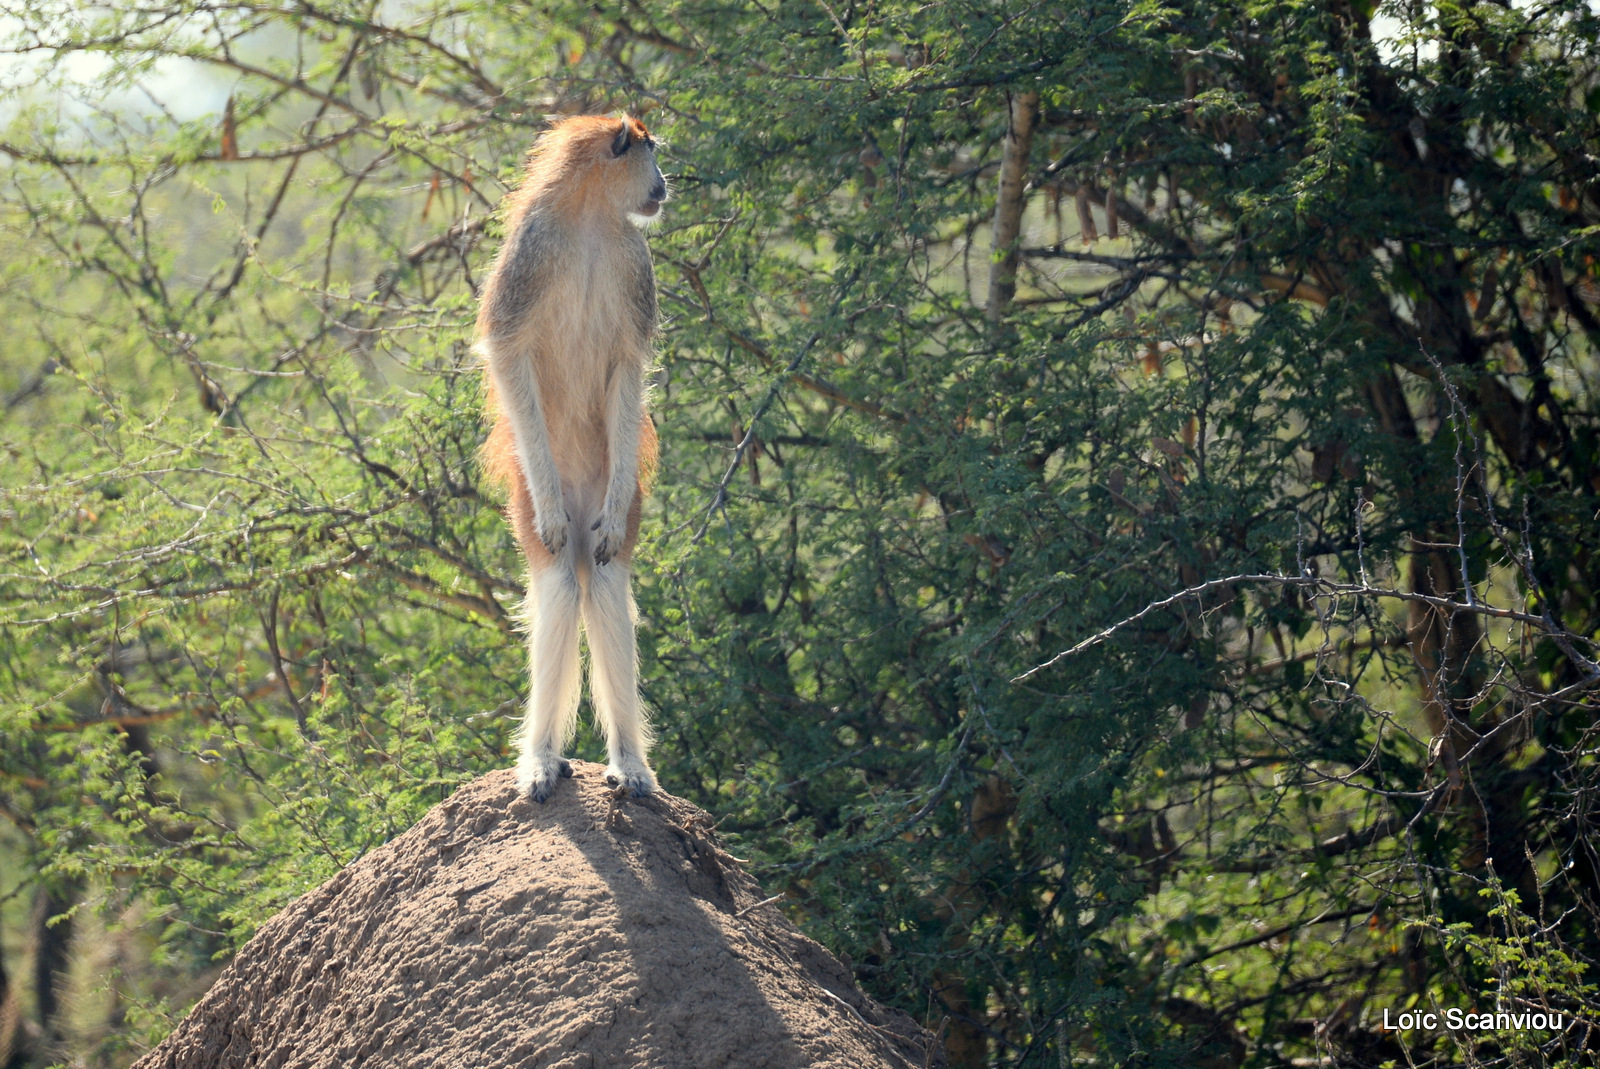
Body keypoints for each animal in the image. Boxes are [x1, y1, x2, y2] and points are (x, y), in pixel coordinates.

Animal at [480, 115, 668, 800]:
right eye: (649, 151)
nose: (664, 184)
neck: (588, 217)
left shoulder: (634, 264)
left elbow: (628, 366)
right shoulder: (531, 253)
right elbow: (507, 351)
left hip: (618, 486)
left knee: (607, 582)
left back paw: (629, 763)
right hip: (537, 496)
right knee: (562, 580)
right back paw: (541, 758)